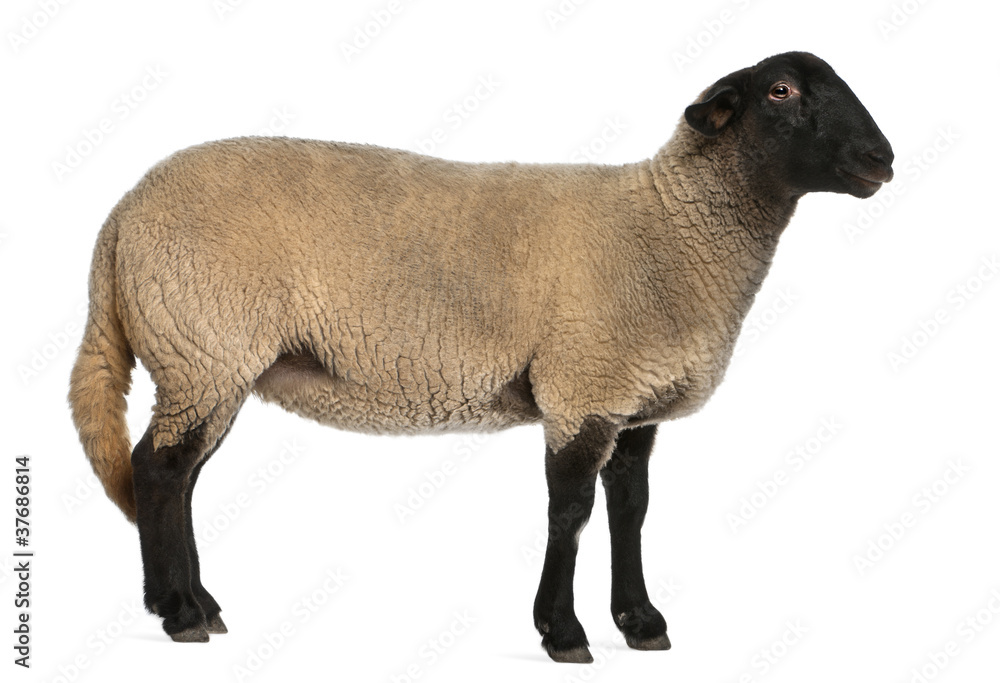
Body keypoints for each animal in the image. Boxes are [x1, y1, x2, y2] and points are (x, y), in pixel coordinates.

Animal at [69, 51, 893, 662]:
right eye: (782, 91)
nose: (881, 158)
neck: (671, 227)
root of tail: (117, 221)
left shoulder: (633, 401)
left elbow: (630, 508)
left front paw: (641, 622)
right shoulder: (582, 386)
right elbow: (571, 510)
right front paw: (563, 632)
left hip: (208, 360)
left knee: (181, 478)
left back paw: (199, 604)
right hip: (201, 347)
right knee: (158, 470)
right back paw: (177, 614)